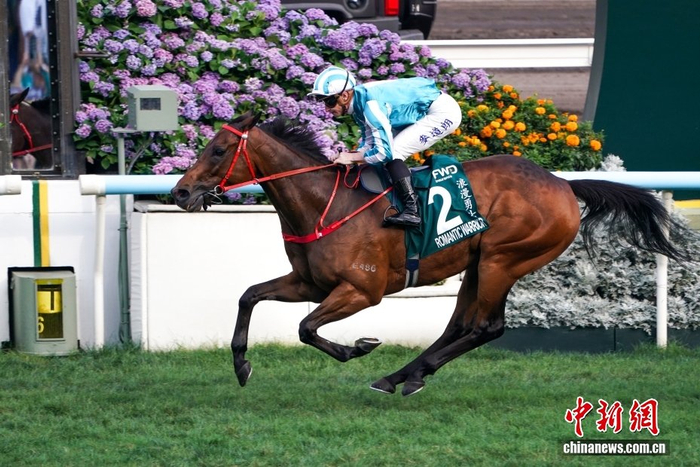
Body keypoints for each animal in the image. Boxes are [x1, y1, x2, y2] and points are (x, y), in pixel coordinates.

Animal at [171, 112, 690, 396]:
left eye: (218, 150)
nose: (180, 192)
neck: (323, 204)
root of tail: (563, 185)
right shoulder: (309, 283)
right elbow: (249, 295)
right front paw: (241, 366)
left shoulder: (362, 290)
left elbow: (305, 328)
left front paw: (356, 347)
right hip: (478, 264)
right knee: (459, 325)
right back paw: (404, 375)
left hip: (504, 259)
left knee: (486, 327)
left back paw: (404, 373)